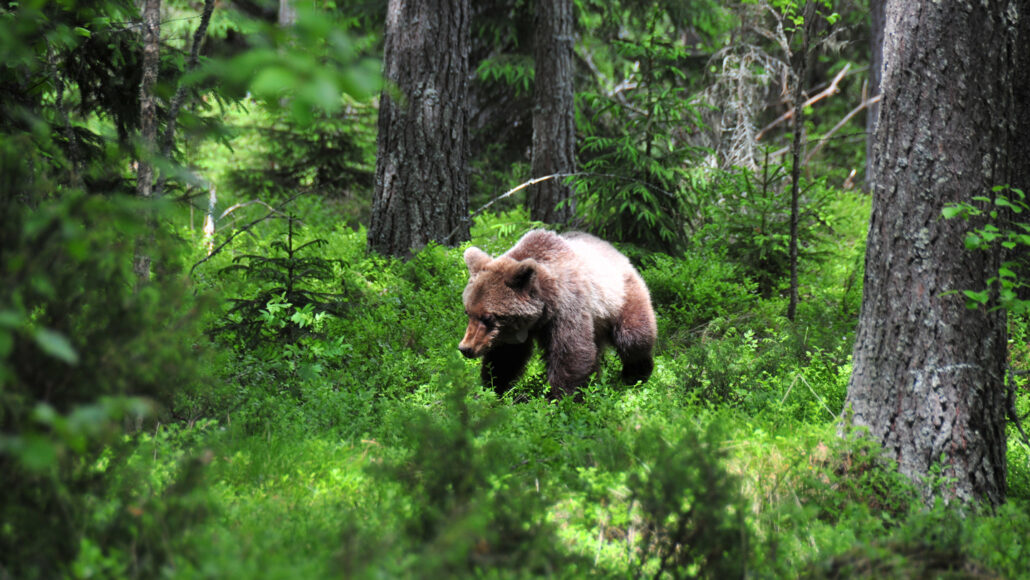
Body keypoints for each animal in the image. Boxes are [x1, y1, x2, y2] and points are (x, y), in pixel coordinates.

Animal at [461, 227, 655, 399]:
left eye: (488, 317)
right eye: (467, 311)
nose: (465, 348)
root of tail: (617, 252)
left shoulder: (567, 307)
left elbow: (570, 352)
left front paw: (561, 398)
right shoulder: (513, 332)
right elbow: (505, 357)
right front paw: (492, 389)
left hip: (621, 298)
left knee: (633, 338)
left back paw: (636, 375)